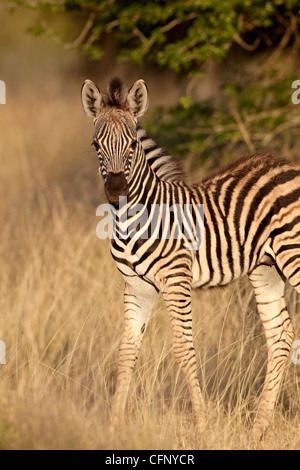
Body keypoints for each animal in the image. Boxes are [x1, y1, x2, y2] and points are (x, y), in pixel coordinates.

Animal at [81, 75, 298, 438]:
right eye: (97, 145)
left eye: (132, 145)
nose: (116, 190)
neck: (131, 219)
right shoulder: (136, 287)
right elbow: (127, 351)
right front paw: (113, 426)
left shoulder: (176, 281)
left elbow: (184, 349)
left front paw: (202, 427)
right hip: (266, 268)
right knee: (281, 335)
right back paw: (257, 430)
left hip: (292, 255)